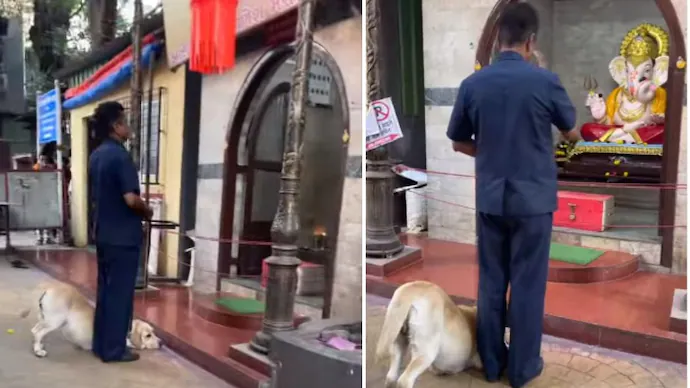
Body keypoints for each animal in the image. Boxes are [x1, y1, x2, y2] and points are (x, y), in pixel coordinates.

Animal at [19, 282, 161, 358]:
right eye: (148, 335)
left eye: (154, 331)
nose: (161, 343)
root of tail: (49, 286)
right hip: (55, 320)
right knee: (37, 332)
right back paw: (38, 350)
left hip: (45, 318)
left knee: (36, 331)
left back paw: (38, 345)